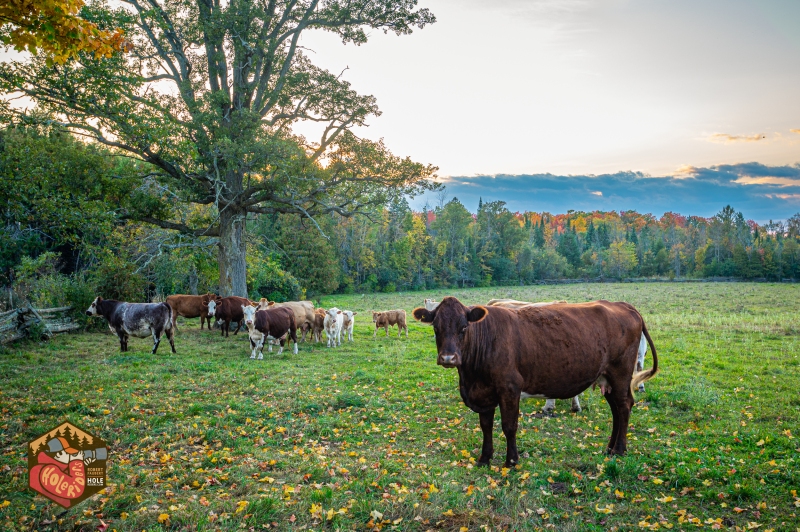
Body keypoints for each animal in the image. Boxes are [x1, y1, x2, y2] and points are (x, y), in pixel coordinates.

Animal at [410, 296, 660, 466]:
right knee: (616, 410)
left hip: (620, 373)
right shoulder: (484, 393)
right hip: (606, 378)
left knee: (624, 406)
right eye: (436, 328)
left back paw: (619, 450)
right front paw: (484, 458)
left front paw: (511, 461)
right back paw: (609, 448)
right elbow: (486, 426)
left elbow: (509, 426)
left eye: (464, 327)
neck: (471, 378)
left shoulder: (509, 389)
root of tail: (623, 305)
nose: (448, 358)